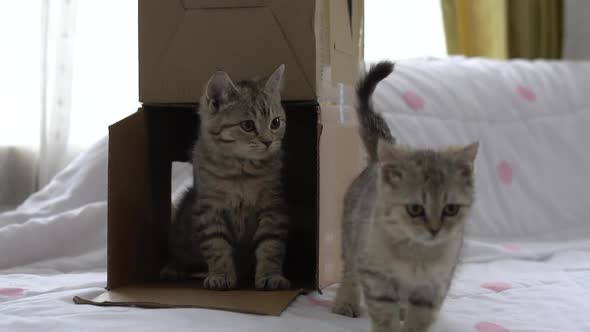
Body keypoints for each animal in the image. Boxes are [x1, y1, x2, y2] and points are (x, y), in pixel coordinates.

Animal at [161, 65, 292, 290]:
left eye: (275, 123)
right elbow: (217, 245)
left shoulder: (273, 208)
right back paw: (173, 269)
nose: (268, 141)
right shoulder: (209, 210)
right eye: (247, 126)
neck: (241, 171)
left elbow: (271, 245)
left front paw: (271, 275)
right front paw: (220, 275)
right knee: (180, 256)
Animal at [332, 61, 480, 330]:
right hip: (351, 239)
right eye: (415, 209)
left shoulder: (432, 287)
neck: (416, 254)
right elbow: (384, 316)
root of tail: (376, 161)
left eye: (451, 209)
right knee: (349, 272)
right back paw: (345, 302)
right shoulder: (377, 278)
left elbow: (419, 318)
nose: (434, 230)